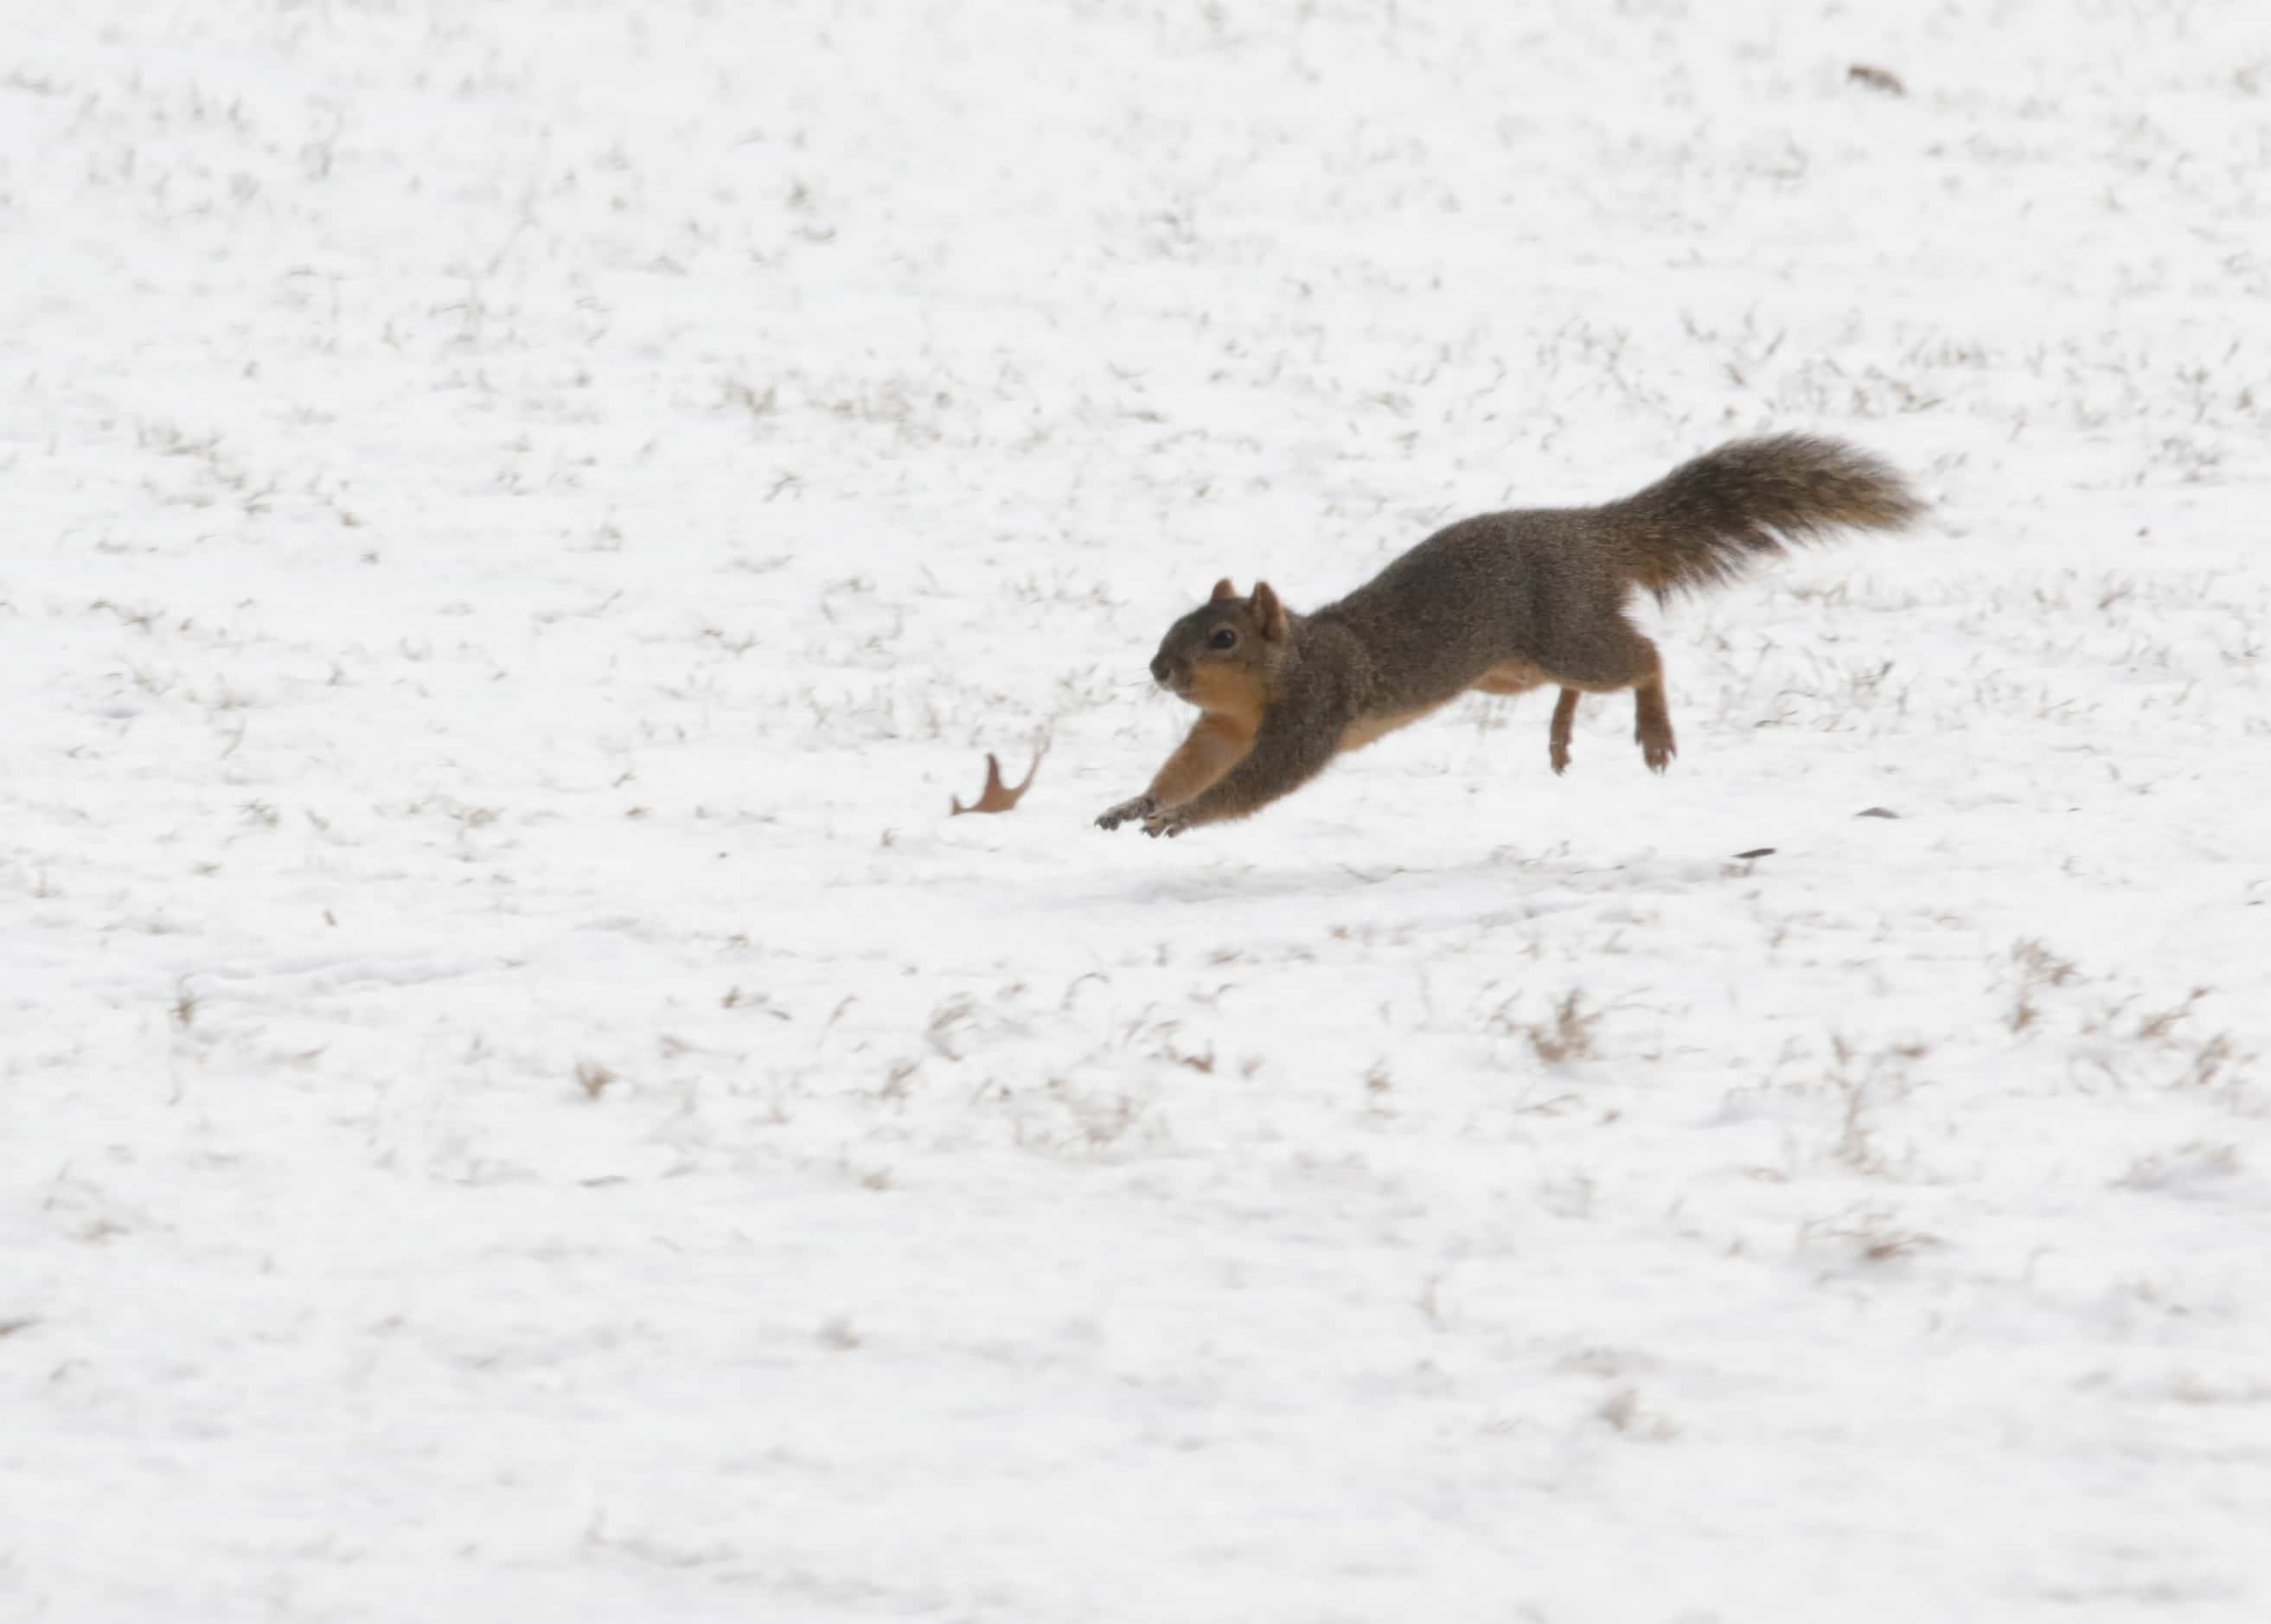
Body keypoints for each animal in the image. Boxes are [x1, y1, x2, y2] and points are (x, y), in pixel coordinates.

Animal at [1094, 432, 1916, 840]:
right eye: (1177, 626)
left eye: (1223, 639)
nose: (1159, 669)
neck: (1288, 663)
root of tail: (1593, 535)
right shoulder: (1224, 728)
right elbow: (1191, 765)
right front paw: (1138, 804)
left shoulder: (1310, 715)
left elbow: (1253, 784)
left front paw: (1182, 819)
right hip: (1507, 668)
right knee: (1579, 682)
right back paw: (1560, 734)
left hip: (1566, 633)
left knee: (1643, 658)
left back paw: (1653, 734)